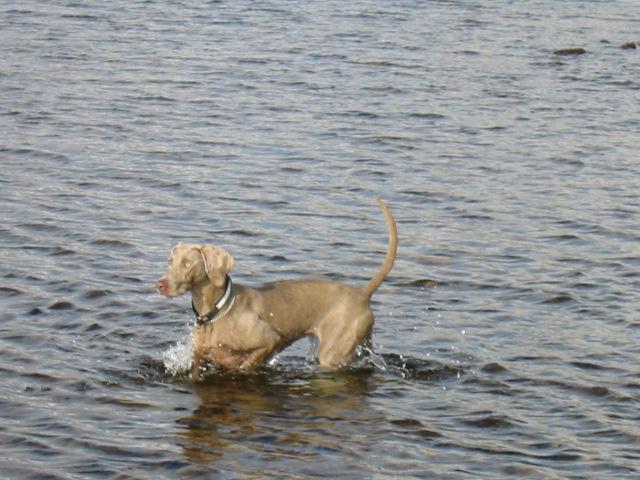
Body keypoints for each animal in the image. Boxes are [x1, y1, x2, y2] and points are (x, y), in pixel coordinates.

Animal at [157, 198, 397, 380]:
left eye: (188, 263)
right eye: (170, 261)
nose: (161, 284)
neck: (217, 311)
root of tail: (362, 293)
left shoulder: (270, 340)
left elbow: (247, 363)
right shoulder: (198, 360)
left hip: (333, 351)